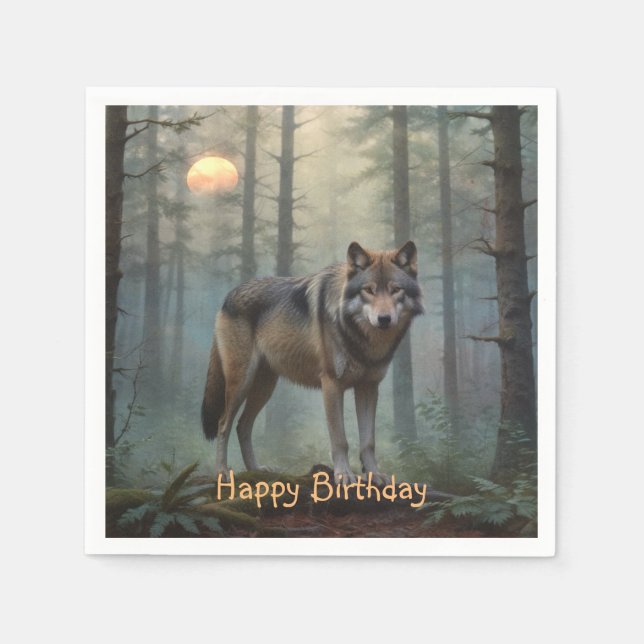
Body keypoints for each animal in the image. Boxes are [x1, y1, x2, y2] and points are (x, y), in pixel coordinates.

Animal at [201, 240, 424, 484]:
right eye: (369, 290)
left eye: (396, 290)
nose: (384, 319)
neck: (362, 339)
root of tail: (228, 296)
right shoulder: (332, 385)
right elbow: (340, 439)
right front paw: (344, 475)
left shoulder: (368, 388)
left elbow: (368, 442)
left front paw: (374, 474)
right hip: (241, 383)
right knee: (224, 424)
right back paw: (222, 471)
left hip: (265, 387)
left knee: (243, 426)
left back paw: (256, 470)